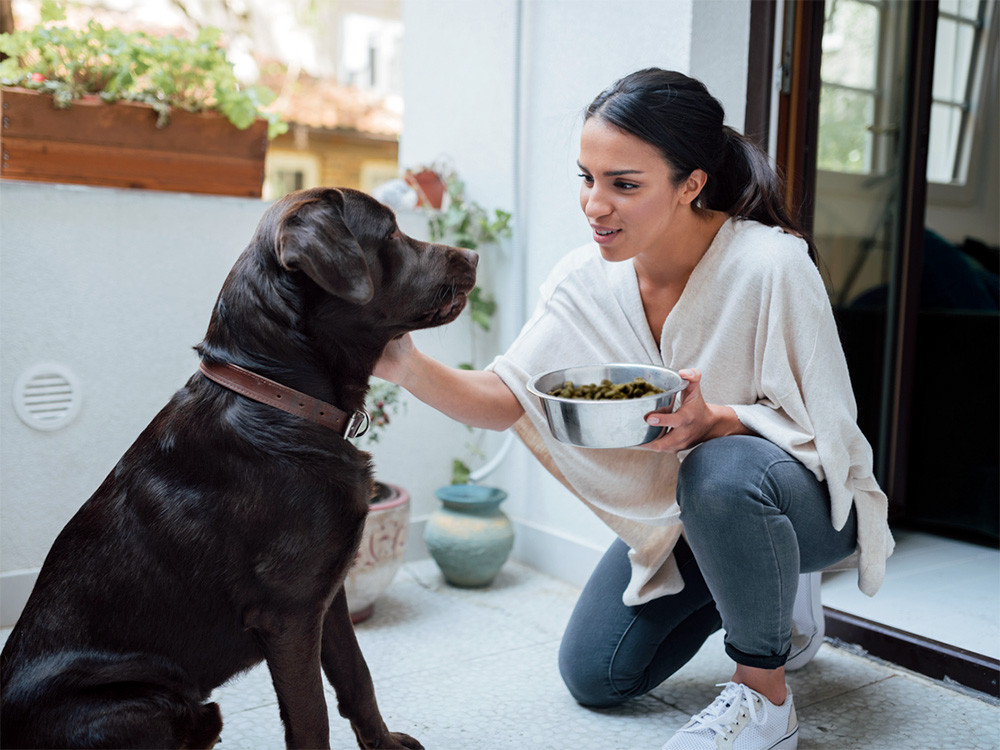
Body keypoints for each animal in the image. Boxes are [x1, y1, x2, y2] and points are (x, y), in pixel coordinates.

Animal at [0, 188, 478, 750]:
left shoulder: (327, 594)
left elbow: (358, 678)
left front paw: (383, 745)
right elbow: (311, 718)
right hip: (146, 703)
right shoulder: (289, 615)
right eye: (391, 233)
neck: (277, 397)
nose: (473, 256)